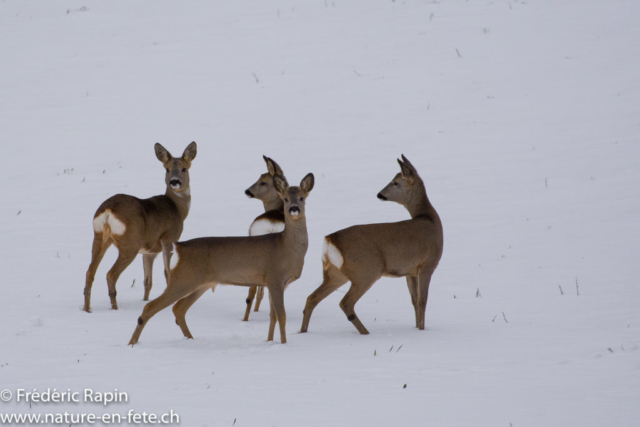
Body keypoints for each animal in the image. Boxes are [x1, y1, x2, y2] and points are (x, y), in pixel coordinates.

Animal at [84, 142, 198, 312]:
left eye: (184, 168)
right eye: (167, 169)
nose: (174, 181)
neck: (177, 208)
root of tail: (108, 211)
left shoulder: (149, 251)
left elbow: (147, 281)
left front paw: (145, 301)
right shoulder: (168, 238)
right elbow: (167, 272)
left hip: (99, 237)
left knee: (90, 272)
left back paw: (87, 309)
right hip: (130, 243)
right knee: (111, 274)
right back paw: (115, 308)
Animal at [298, 155, 440, 336]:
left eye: (395, 182)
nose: (380, 194)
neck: (429, 218)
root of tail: (330, 239)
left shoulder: (410, 271)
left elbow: (414, 301)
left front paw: (417, 329)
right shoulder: (427, 265)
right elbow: (423, 301)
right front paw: (422, 330)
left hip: (334, 273)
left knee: (312, 298)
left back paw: (303, 331)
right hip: (366, 271)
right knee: (345, 302)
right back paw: (365, 333)